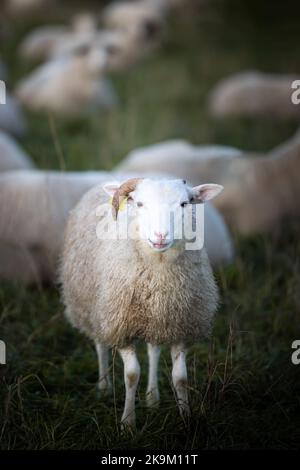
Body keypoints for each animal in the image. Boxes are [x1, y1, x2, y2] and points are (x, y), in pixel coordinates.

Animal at [59, 176, 223, 426]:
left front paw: (186, 417)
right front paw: (128, 422)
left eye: (185, 203)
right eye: (139, 204)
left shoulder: (179, 323)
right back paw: (104, 387)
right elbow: (131, 375)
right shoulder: (121, 325)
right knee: (100, 343)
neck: (159, 275)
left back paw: (152, 398)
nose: (160, 236)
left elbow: (180, 377)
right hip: (93, 306)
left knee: (153, 349)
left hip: (154, 319)